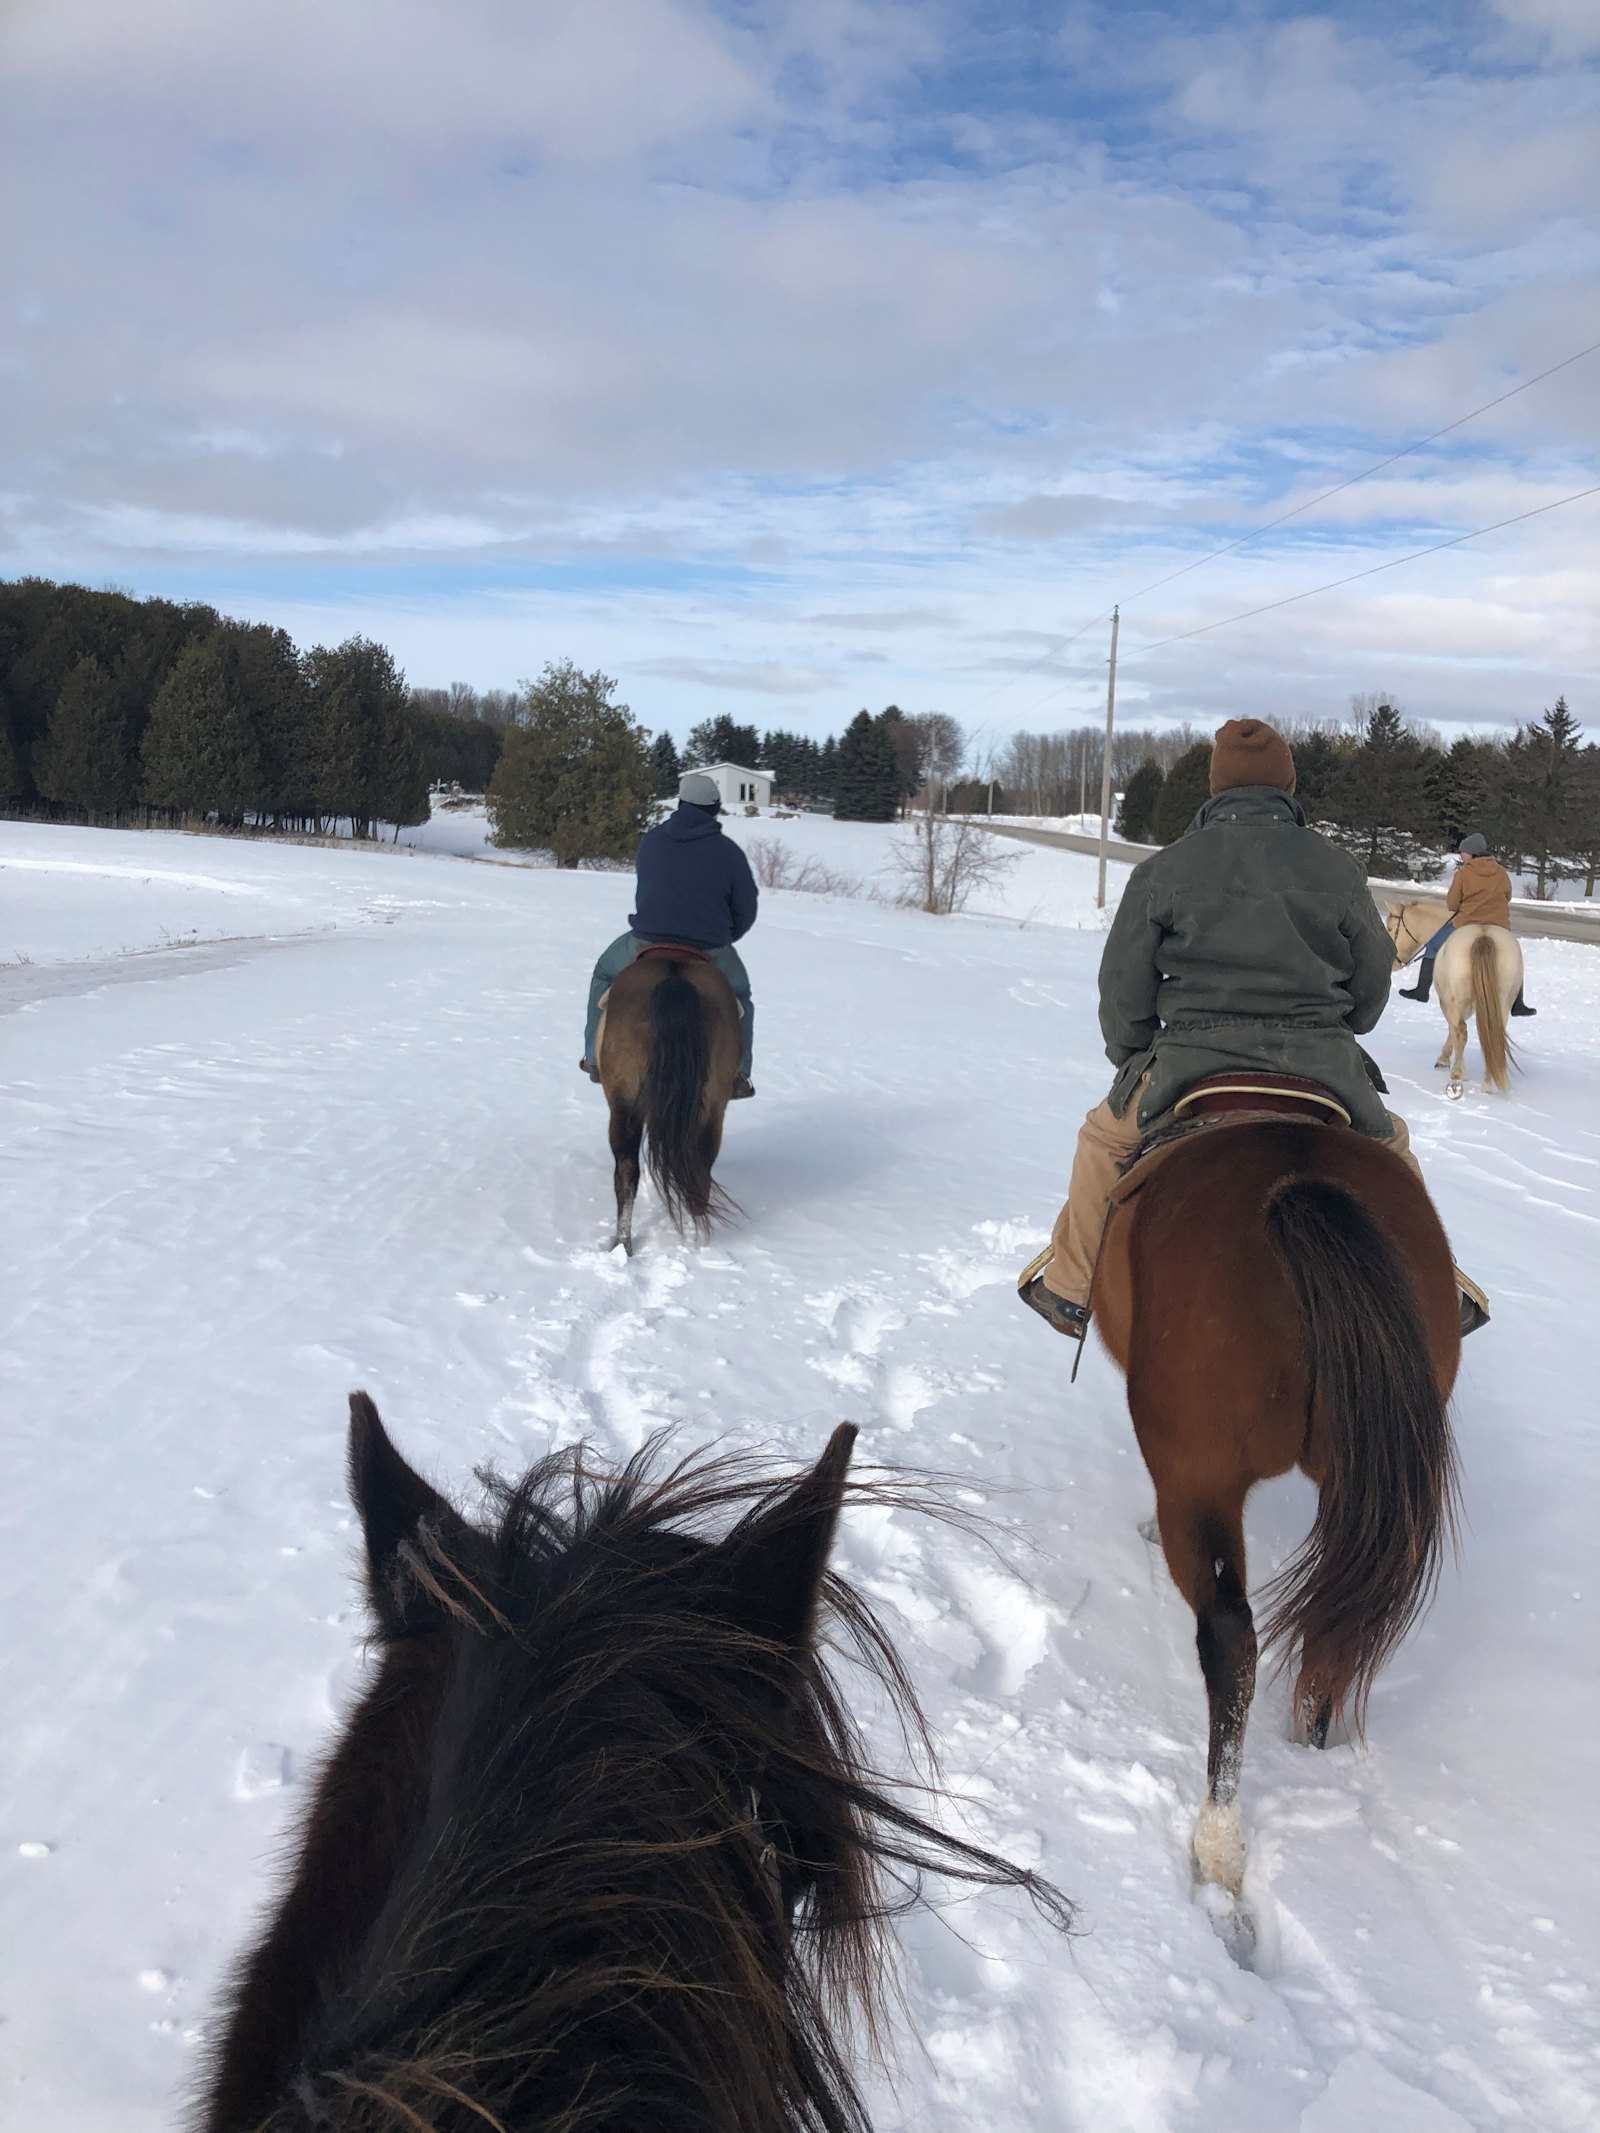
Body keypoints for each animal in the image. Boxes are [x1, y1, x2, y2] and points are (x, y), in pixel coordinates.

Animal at [1091, 1096, 1461, 1957]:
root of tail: (1297, 1185)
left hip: (1198, 1475)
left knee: (1231, 1636)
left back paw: (1220, 1851)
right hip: (1359, 1481)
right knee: (1340, 1621)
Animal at [1384, 898, 1522, 1097]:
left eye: (1389, 928)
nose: (1393, 963)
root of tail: (1483, 936)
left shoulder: (1449, 1002)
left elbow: (1453, 1029)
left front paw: (1445, 1061)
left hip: (1458, 1000)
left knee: (1462, 1032)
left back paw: (1458, 1073)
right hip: (1501, 1003)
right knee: (1493, 1036)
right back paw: (1487, 1084)